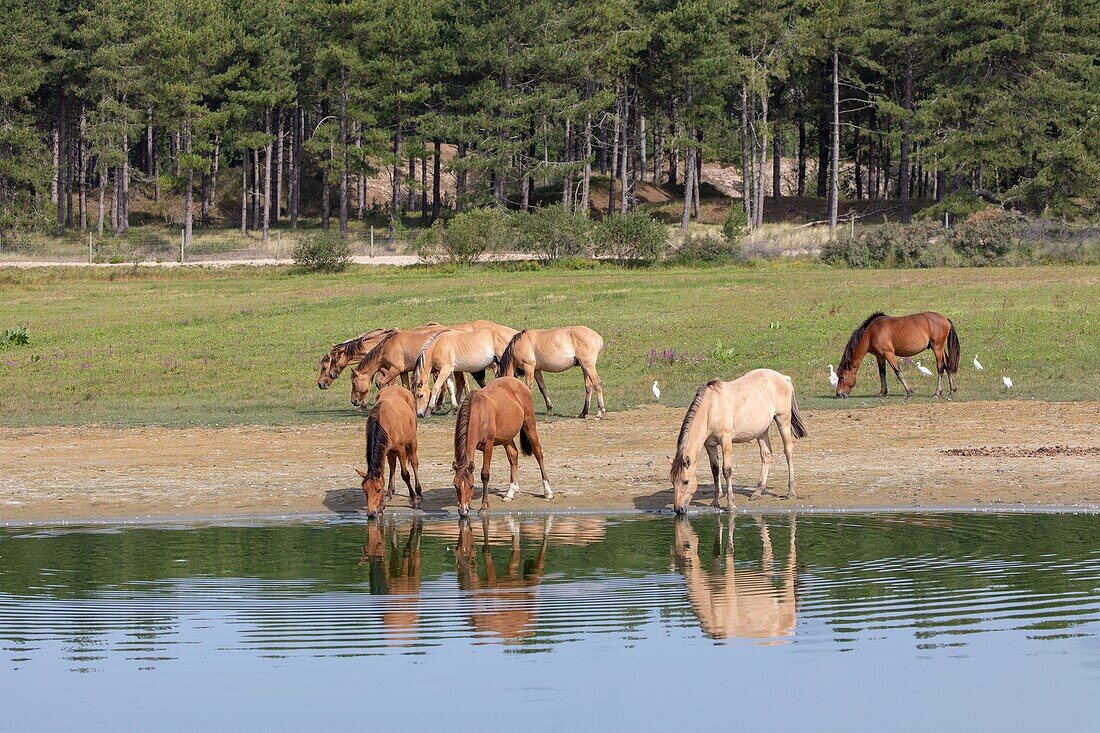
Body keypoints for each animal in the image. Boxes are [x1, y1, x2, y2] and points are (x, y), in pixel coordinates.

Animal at [354, 383, 422, 512]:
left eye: (378, 490)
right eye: (365, 490)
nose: (371, 513)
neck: (382, 422)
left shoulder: (401, 449)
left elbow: (405, 475)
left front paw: (415, 500)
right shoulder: (384, 450)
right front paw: (381, 505)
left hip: (412, 441)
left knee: (414, 462)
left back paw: (419, 491)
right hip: (390, 451)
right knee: (393, 465)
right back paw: (390, 492)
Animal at [448, 374, 550, 517]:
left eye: (471, 485)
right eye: (455, 485)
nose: (463, 510)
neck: (479, 413)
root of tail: (519, 384)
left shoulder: (488, 445)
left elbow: (485, 474)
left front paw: (484, 505)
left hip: (530, 425)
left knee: (538, 453)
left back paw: (547, 491)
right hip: (506, 437)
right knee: (513, 455)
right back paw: (511, 492)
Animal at [668, 367, 809, 510]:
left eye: (685, 481)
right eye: (673, 481)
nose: (678, 509)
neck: (711, 408)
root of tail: (783, 377)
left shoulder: (726, 440)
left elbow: (726, 470)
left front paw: (731, 505)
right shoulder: (710, 444)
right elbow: (715, 470)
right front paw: (715, 502)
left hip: (783, 421)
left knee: (788, 451)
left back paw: (791, 492)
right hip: (761, 430)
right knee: (766, 454)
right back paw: (757, 492)